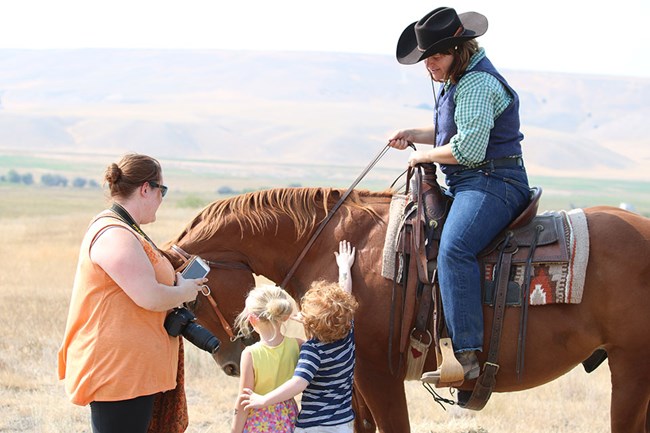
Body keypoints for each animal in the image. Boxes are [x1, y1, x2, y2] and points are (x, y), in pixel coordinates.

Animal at [163, 186, 648, 432]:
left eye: (193, 294)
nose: (230, 360)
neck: (331, 242)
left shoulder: (379, 374)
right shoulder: (355, 376)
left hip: (631, 369)